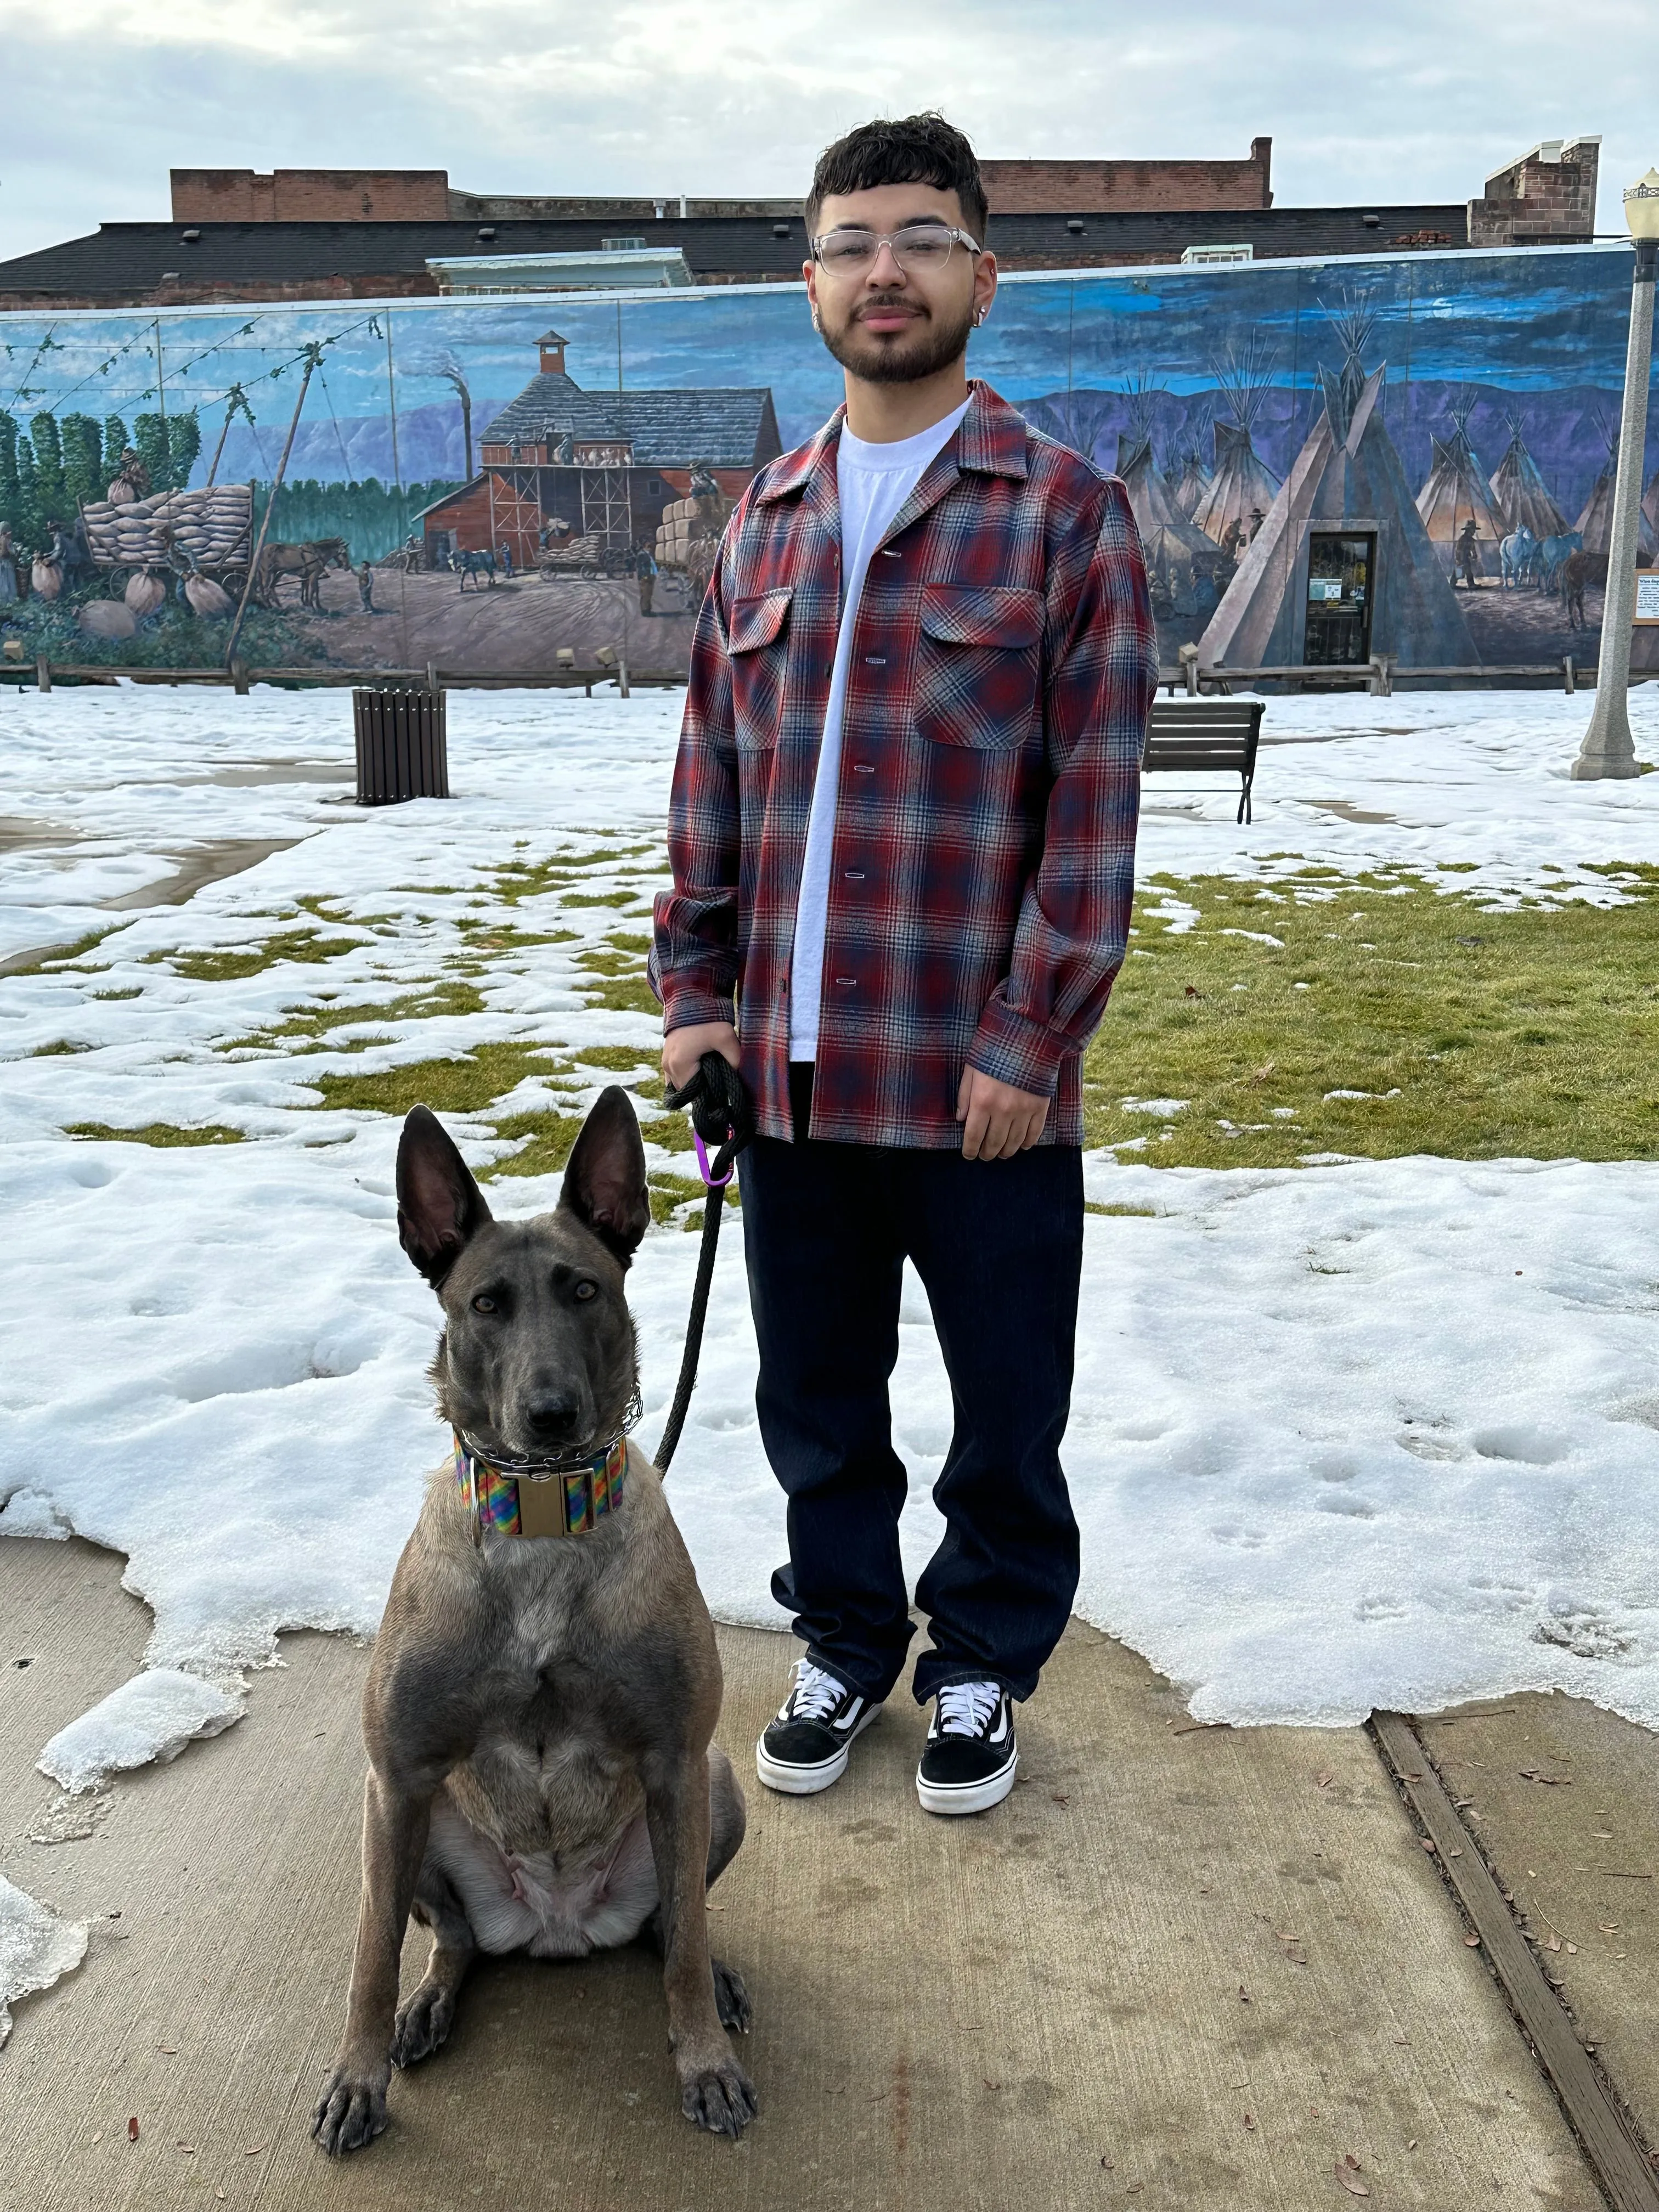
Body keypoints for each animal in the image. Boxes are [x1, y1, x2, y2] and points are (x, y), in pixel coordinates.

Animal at [312, 1097, 761, 2150]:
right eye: (486, 1305)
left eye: (584, 1290)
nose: (551, 1413)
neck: (547, 1517)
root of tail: (558, 1927)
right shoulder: (396, 1775)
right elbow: (367, 1957)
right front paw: (356, 2076)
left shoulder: (677, 1761)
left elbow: (684, 1947)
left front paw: (704, 2063)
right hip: (405, 1822)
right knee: (454, 1939)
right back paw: (427, 2003)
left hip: (714, 1786)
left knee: (671, 1925)